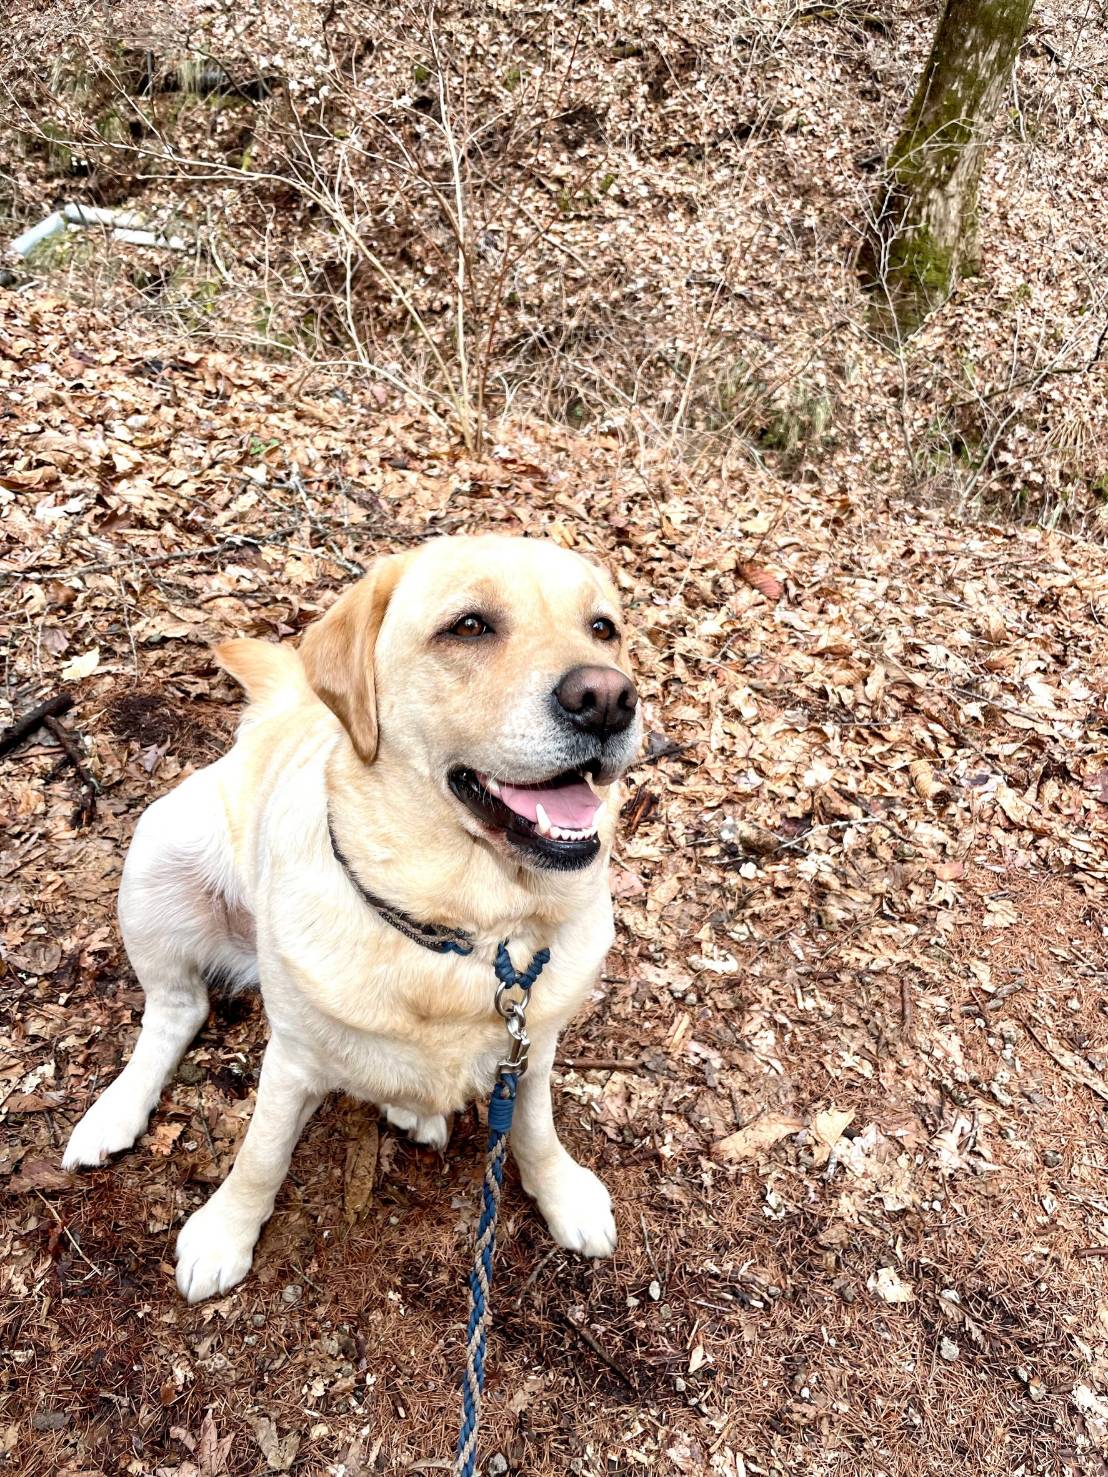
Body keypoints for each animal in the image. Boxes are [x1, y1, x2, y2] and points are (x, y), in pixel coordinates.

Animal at [65, 537, 641, 1299]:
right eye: (469, 626)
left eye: (603, 628)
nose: (608, 698)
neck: (464, 933)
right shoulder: (291, 1057)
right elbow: (261, 1153)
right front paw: (225, 1231)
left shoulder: (532, 1044)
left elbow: (535, 1128)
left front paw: (563, 1193)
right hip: (157, 857)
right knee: (175, 1010)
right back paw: (114, 1113)